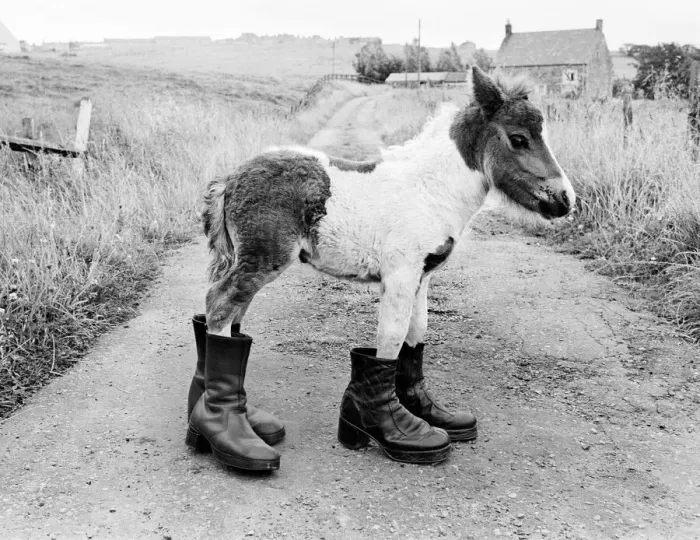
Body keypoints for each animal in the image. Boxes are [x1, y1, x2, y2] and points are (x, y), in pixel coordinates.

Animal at [186, 66, 576, 471]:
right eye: (519, 139)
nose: (566, 201)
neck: (431, 190)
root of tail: (230, 179)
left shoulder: (422, 276)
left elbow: (416, 335)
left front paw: (428, 413)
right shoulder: (400, 273)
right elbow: (391, 336)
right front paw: (399, 430)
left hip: (248, 259)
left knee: (230, 315)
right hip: (261, 259)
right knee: (219, 306)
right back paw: (225, 431)